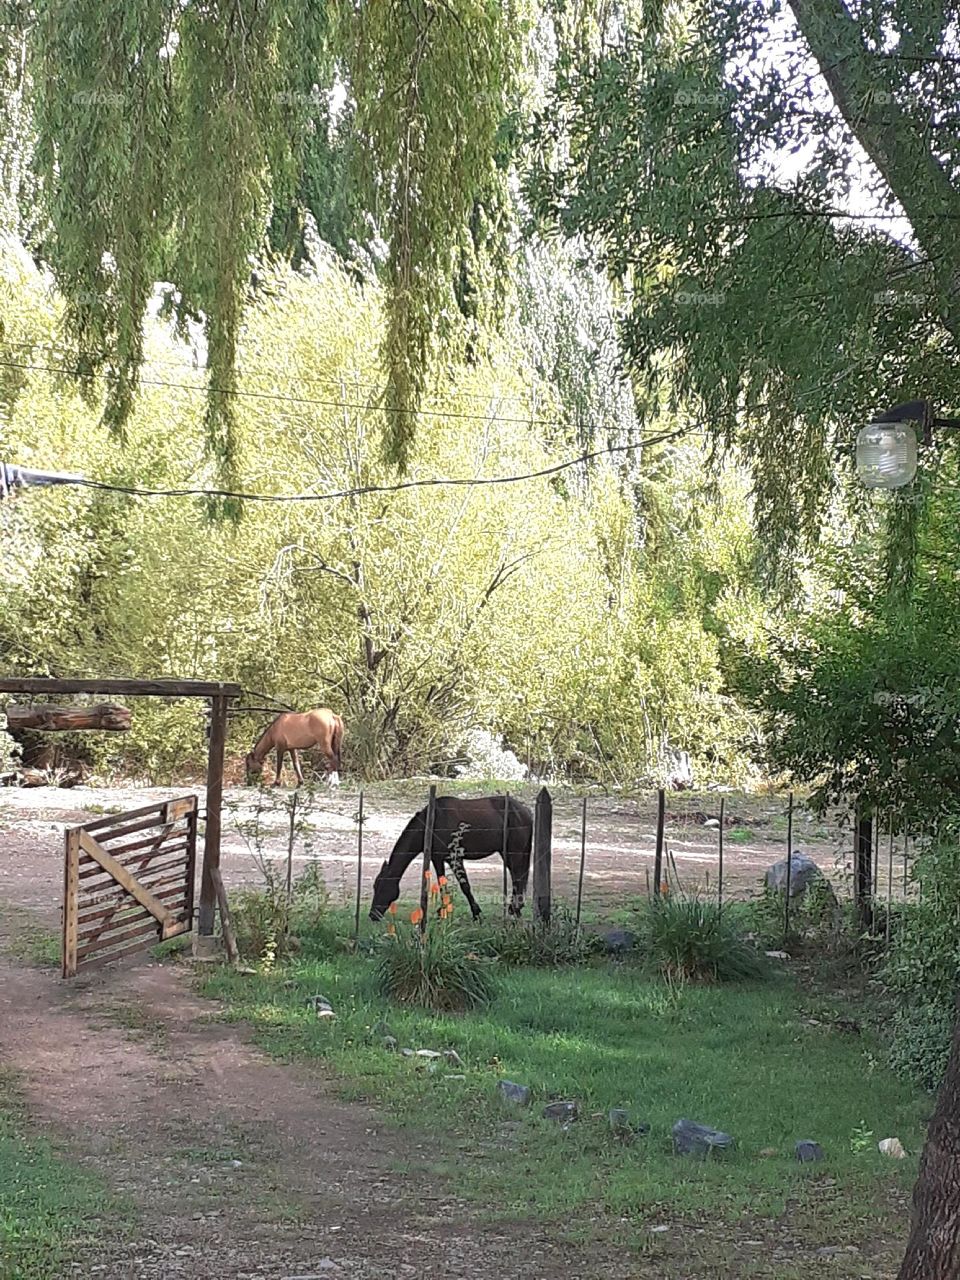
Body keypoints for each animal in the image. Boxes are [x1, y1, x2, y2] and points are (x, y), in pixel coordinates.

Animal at [371, 788, 535, 921]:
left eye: (381, 886)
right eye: (375, 886)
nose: (372, 915)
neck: (431, 823)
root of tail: (526, 812)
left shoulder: (454, 858)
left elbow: (465, 886)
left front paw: (476, 913)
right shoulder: (437, 859)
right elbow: (443, 885)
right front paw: (442, 911)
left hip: (514, 853)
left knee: (517, 877)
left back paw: (515, 908)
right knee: (517, 877)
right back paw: (515, 908)